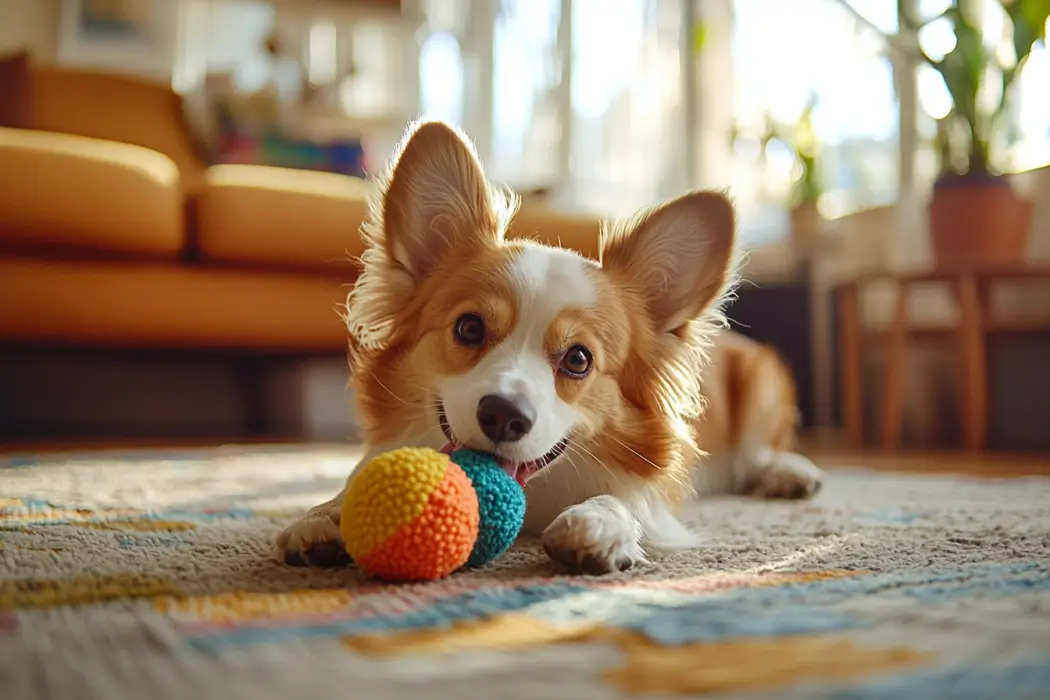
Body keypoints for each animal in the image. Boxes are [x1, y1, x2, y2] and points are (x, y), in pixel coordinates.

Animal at [273, 117, 827, 575]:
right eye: (469, 329)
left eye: (578, 359)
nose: (503, 415)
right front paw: (325, 514)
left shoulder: (649, 496)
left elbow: (622, 501)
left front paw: (598, 523)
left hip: (762, 380)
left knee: (759, 451)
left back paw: (788, 472)